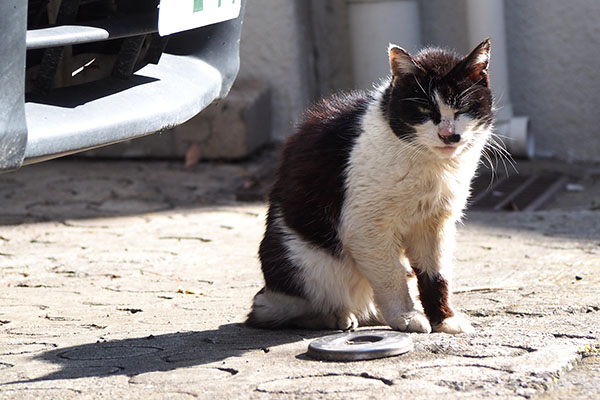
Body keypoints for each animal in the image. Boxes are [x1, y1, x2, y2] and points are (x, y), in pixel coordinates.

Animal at [246, 39, 494, 332]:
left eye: (464, 108)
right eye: (424, 109)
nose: (448, 135)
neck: (431, 166)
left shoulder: (435, 223)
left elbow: (437, 276)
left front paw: (444, 319)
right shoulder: (366, 226)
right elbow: (391, 276)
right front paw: (406, 316)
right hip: (305, 262)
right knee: (270, 311)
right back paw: (336, 317)